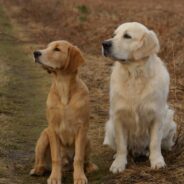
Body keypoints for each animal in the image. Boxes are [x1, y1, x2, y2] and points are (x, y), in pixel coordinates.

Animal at [29, 41, 98, 183]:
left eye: (57, 49)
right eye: (47, 47)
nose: (36, 52)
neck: (63, 86)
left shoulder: (82, 128)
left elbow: (78, 158)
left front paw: (79, 177)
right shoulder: (52, 128)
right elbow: (56, 158)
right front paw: (54, 177)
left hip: (87, 139)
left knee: (85, 160)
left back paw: (89, 167)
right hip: (44, 136)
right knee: (41, 161)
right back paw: (38, 170)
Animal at [102, 22, 177, 173]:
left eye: (127, 36)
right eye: (114, 35)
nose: (104, 44)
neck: (135, 76)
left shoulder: (157, 116)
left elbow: (154, 142)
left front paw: (157, 161)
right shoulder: (118, 116)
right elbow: (121, 146)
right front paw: (119, 163)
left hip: (170, 122)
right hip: (109, 127)